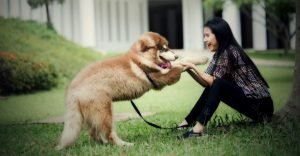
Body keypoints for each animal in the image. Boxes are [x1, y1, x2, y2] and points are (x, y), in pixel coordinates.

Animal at [55, 31, 207, 150]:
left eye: (168, 47)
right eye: (163, 49)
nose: (176, 55)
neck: (140, 58)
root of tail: (73, 88)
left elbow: (182, 61)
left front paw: (200, 58)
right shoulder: (161, 78)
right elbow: (179, 65)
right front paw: (192, 61)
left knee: (94, 132)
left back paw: (105, 144)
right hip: (104, 110)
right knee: (107, 133)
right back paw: (124, 145)